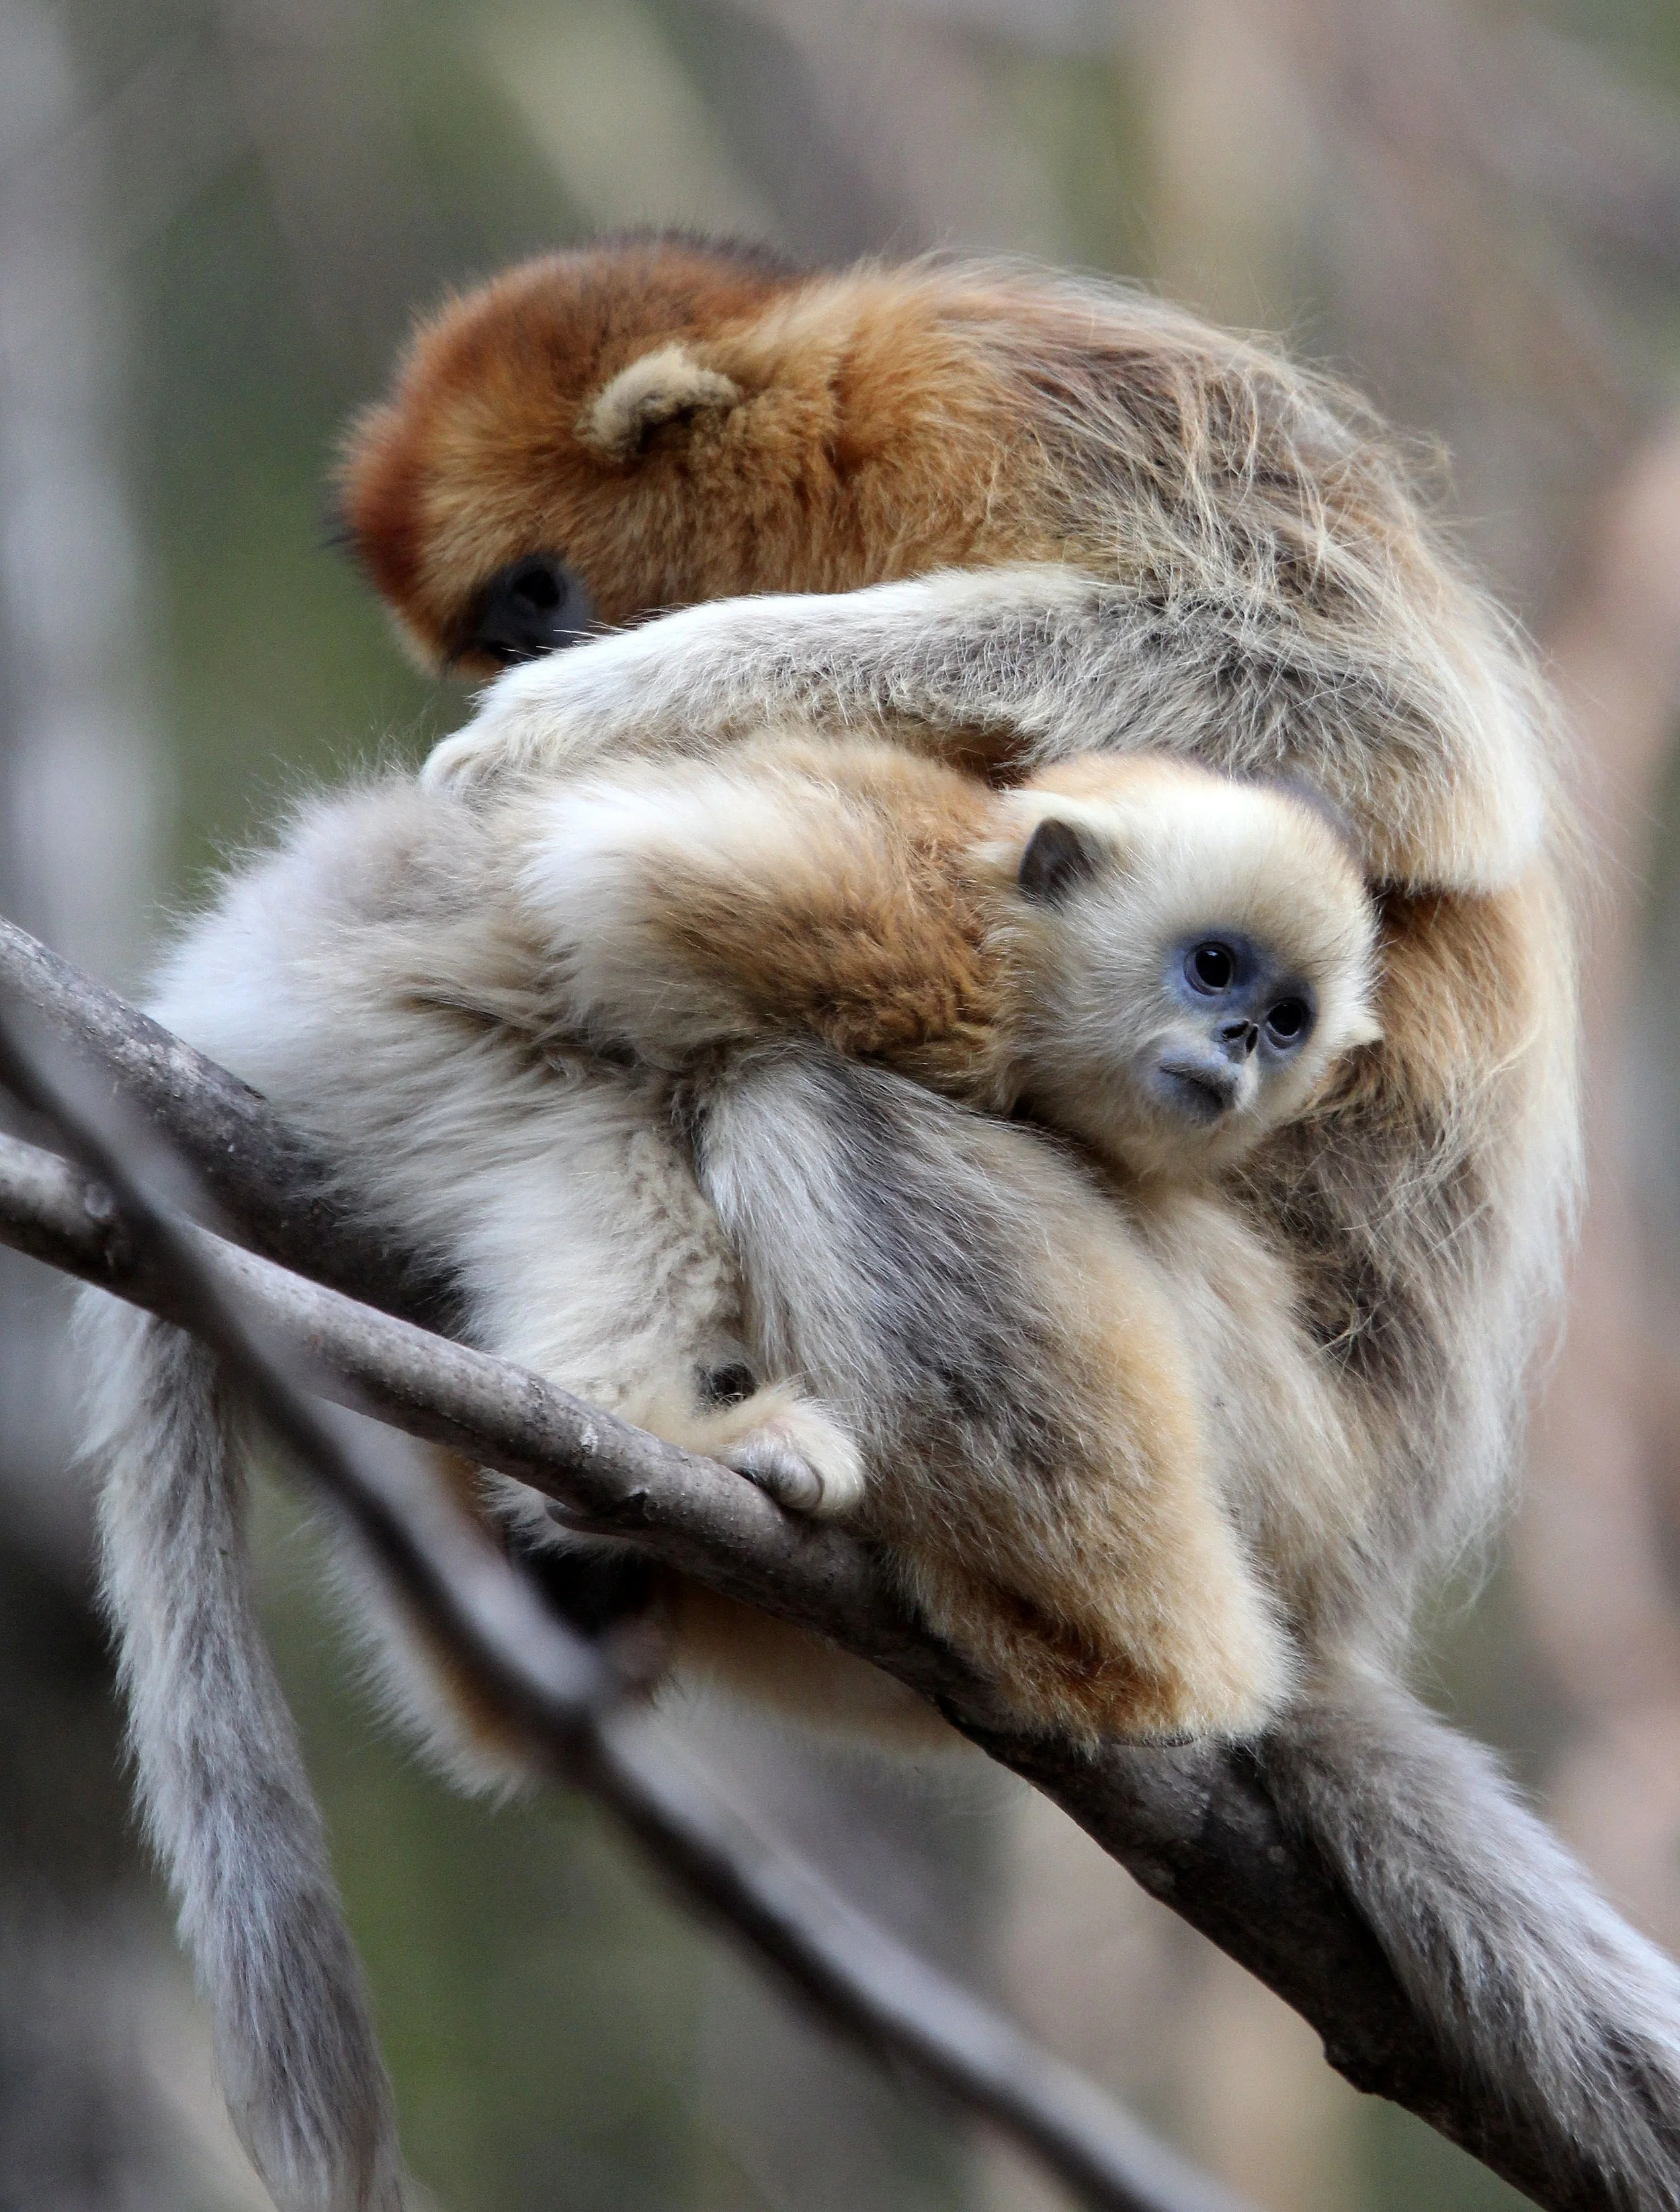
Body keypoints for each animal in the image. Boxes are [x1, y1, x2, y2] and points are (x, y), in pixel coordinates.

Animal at [76, 238, 1680, 2212]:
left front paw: (623, 705)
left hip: (1273, 1457)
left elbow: (1386, 722)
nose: (533, 658)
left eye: (539, 598)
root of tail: (1345, 1594)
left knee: (814, 1101)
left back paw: (1105, 1659)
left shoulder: (1012, 397)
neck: (840, 456)